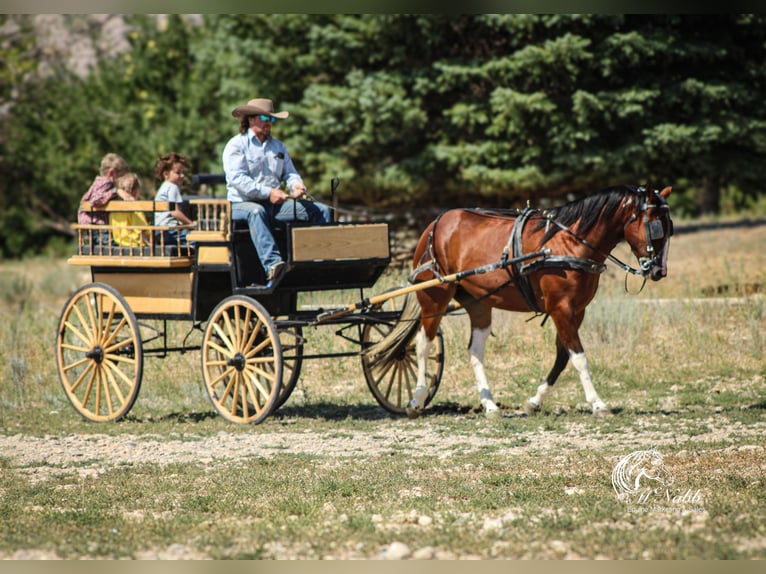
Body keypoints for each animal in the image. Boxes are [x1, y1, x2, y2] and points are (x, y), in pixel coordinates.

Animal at [368, 184, 673, 418]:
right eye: (656, 226)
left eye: (670, 228)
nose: (659, 271)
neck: (568, 244)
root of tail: (435, 224)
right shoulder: (561, 309)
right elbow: (579, 358)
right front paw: (598, 404)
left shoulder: (576, 311)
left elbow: (563, 357)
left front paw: (533, 402)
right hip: (435, 297)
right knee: (423, 344)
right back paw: (417, 400)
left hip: (478, 302)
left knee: (474, 351)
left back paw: (489, 405)